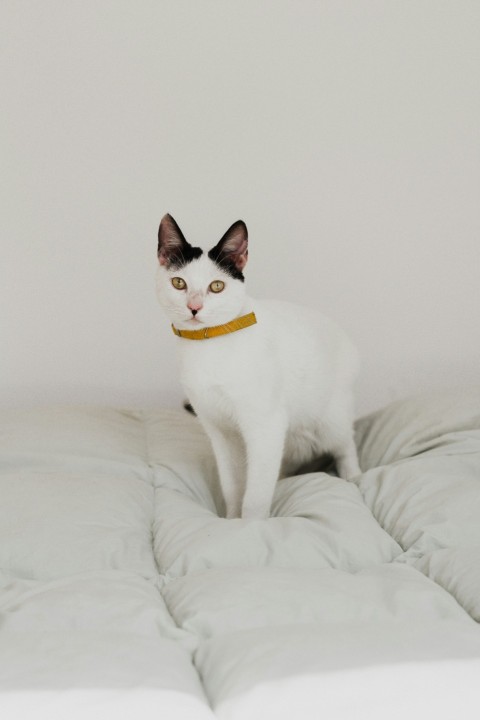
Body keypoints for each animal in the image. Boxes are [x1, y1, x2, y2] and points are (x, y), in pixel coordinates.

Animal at [157, 212, 360, 516]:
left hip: (328, 419)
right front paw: (231, 519)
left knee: (345, 442)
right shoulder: (220, 431)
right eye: (179, 283)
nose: (194, 307)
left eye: (217, 286)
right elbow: (232, 485)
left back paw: (353, 476)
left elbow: (256, 493)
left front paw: (252, 524)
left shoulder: (266, 425)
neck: (208, 345)